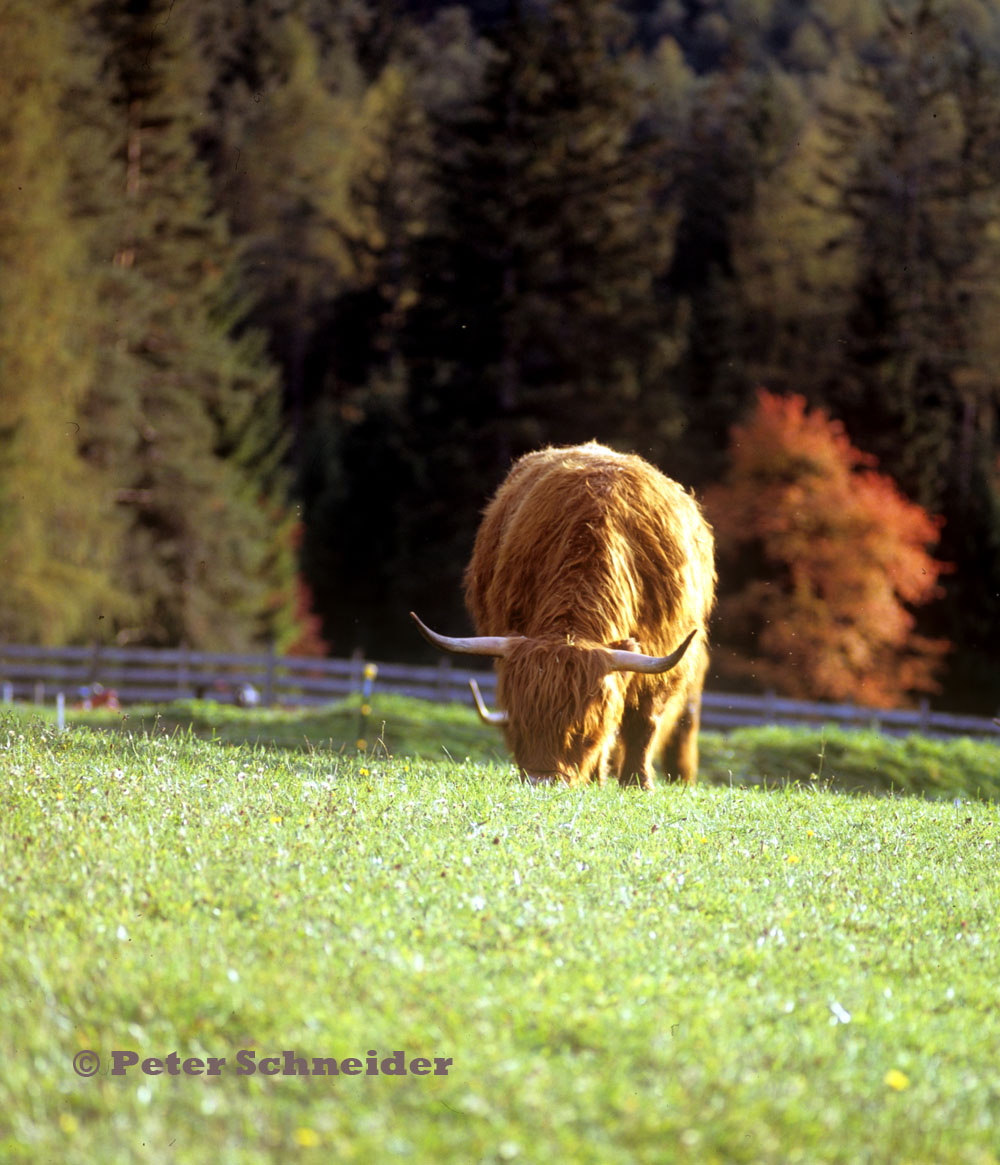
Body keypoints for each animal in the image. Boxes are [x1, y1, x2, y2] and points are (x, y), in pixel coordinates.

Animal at [410, 440, 713, 787]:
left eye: (581, 729)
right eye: (519, 724)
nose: (541, 780)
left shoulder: (665, 654)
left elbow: (643, 722)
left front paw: (638, 782)